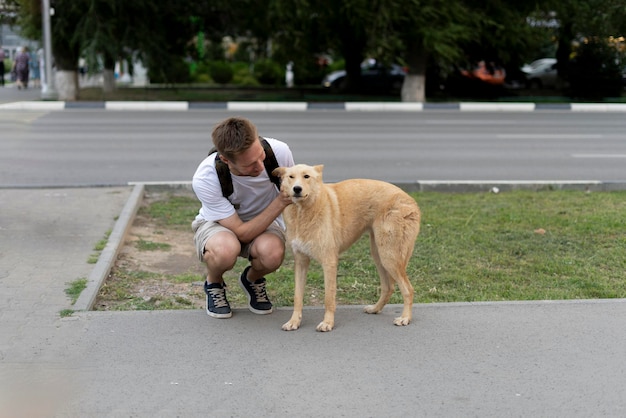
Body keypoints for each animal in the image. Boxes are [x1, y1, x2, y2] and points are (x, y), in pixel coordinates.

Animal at [272, 165, 420, 332]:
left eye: (306, 176)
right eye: (291, 177)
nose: (297, 189)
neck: (302, 212)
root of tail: (410, 200)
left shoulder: (329, 263)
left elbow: (329, 298)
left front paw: (328, 323)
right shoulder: (301, 262)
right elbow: (297, 297)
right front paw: (294, 321)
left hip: (389, 257)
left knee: (408, 289)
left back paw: (405, 318)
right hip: (379, 255)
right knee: (389, 287)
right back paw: (375, 309)